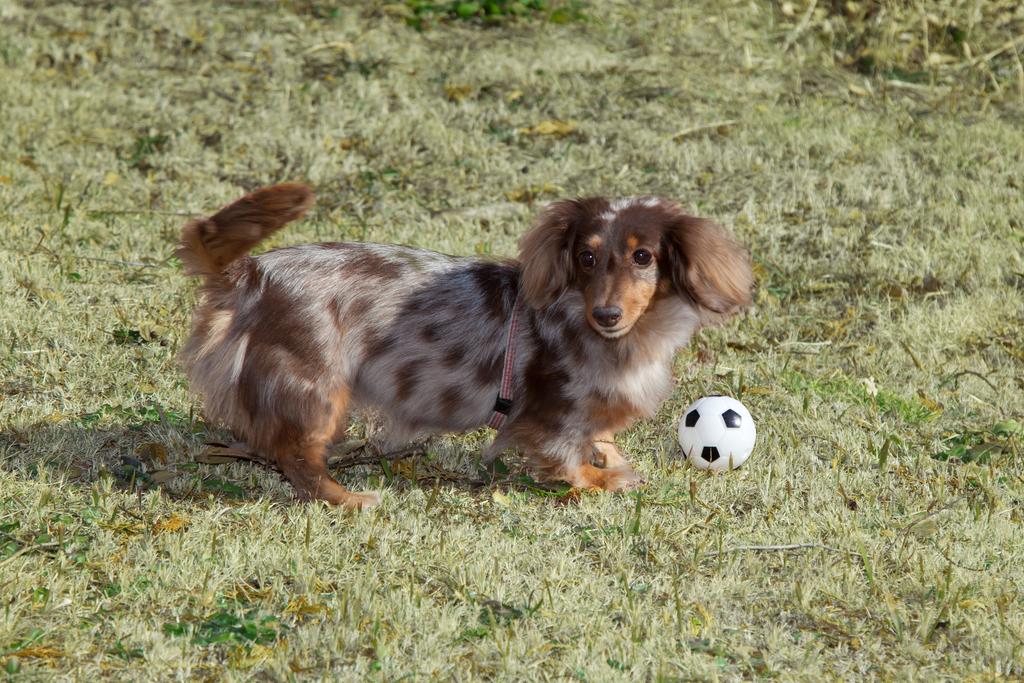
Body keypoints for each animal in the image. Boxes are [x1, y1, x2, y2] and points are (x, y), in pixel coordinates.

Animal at [178, 184, 753, 505]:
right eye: (586, 258)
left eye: (643, 257)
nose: (606, 315)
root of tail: (253, 274)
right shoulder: (549, 415)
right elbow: (566, 459)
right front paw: (604, 477)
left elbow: (602, 437)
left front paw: (611, 456)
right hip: (318, 388)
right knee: (295, 457)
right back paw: (348, 498)